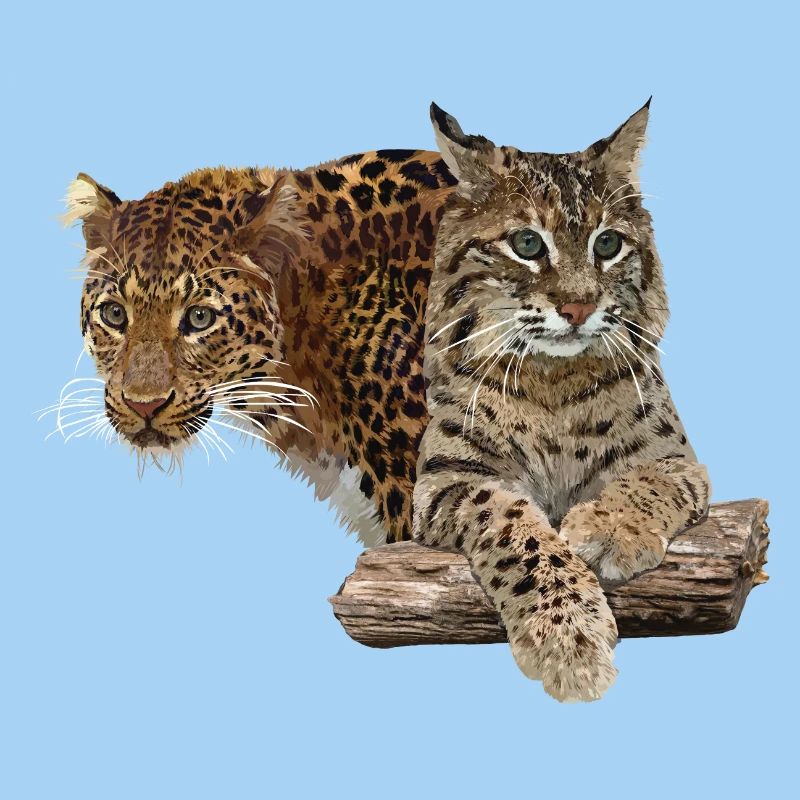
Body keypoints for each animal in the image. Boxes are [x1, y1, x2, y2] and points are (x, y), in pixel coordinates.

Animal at [412, 101, 711, 702]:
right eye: (527, 245)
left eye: (607, 245)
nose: (578, 308)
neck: (553, 377)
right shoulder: (445, 479)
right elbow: (512, 524)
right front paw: (568, 639)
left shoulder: (679, 461)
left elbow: (648, 480)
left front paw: (612, 528)